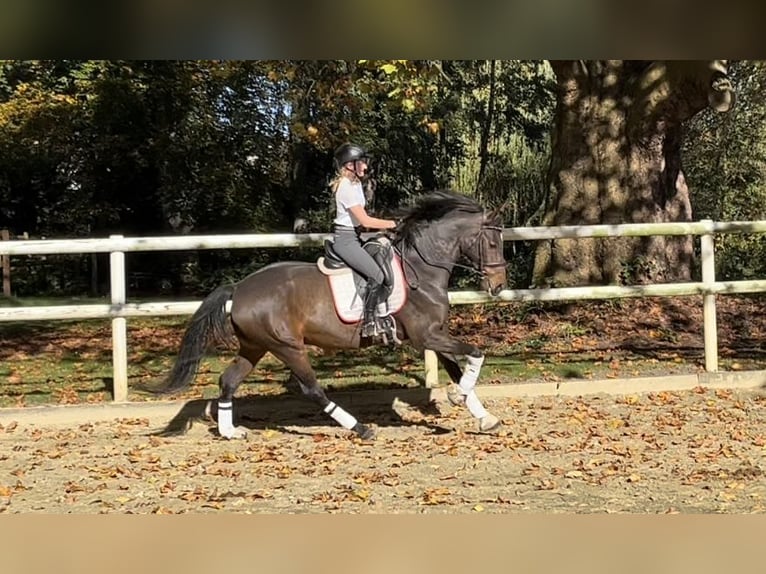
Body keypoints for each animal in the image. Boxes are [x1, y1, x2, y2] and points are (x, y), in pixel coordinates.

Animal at [154, 192, 510, 440]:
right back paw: (361, 428)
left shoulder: (434, 334)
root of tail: (239, 288)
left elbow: (458, 368)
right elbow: (476, 353)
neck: (420, 268)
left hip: (255, 346)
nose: (498, 285)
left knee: (228, 381)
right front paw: (456, 396)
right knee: (312, 390)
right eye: (493, 243)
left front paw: (485, 417)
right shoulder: (427, 336)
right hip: (288, 346)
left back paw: (230, 432)